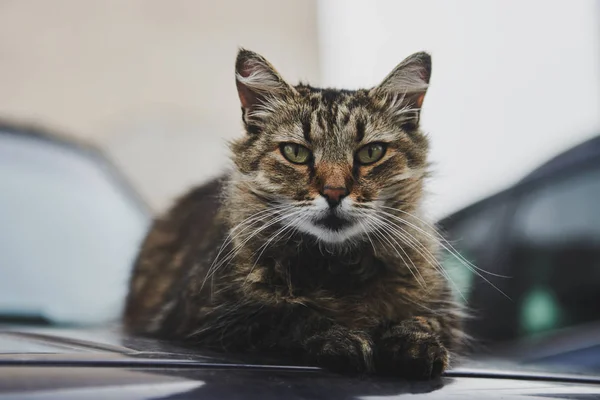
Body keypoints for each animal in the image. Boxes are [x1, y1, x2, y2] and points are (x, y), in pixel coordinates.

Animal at [123, 48, 464, 380]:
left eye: (371, 153)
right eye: (296, 153)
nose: (334, 193)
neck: (338, 266)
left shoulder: (444, 311)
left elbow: (421, 320)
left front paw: (414, 346)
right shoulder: (214, 316)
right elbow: (292, 315)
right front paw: (344, 339)